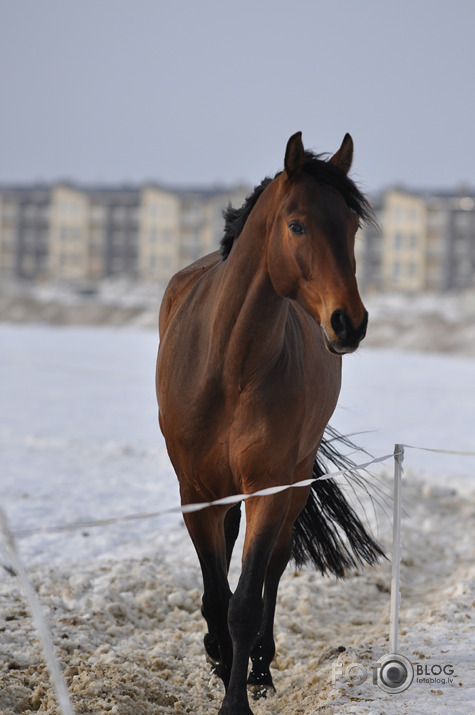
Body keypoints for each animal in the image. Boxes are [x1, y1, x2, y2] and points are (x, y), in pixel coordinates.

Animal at [158, 134, 384, 715]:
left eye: (351, 226)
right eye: (297, 225)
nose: (349, 322)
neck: (229, 365)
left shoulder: (268, 486)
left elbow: (244, 602)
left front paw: (237, 697)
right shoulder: (194, 492)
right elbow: (217, 594)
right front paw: (218, 662)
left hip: (295, 483)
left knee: (274, 572)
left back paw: (259, 667)